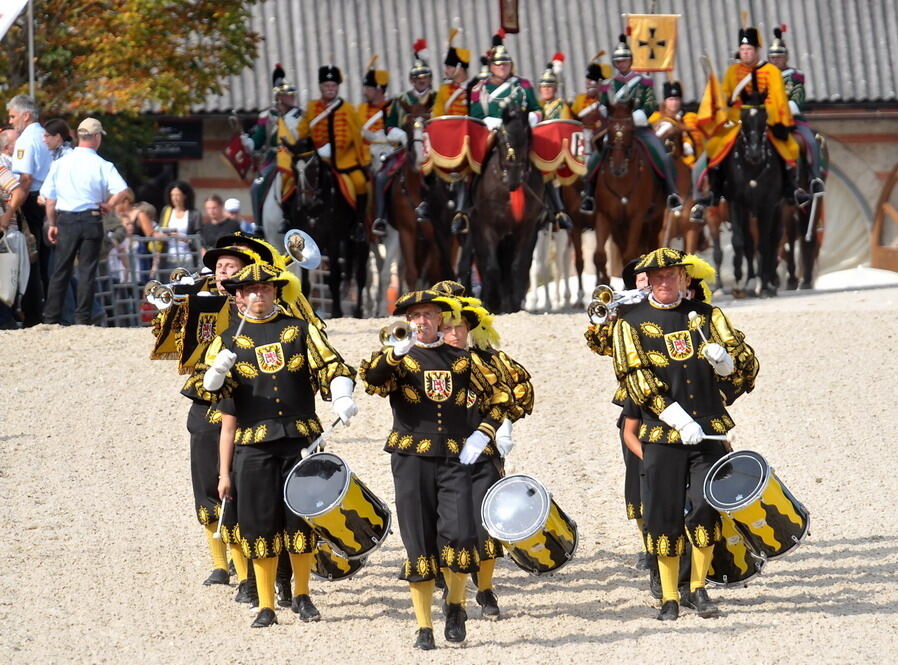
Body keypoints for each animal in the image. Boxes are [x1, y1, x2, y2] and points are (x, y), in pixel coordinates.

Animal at [290, 152, 368, 318]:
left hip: (363, 243)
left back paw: (358, 311)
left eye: (314, 169)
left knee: (360, 276)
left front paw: (336, 312)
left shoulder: (333, 241)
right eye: (293, 169)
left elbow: (334, 277)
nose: (306, 202)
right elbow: (305, 280)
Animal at [462, 102, 544, 312]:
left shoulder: (527, 228)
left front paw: (513, 303)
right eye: (501, 139)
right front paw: (490, 303)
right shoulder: (485, 227)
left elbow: (519, 264)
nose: (513, 180)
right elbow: (491, 266)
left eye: (526, 140)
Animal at [592, 97, 668, 284]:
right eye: (610, 129)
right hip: (619, 227)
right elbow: (599, 256)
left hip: (654, 220)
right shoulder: (604, 216)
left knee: (651, 245)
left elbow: (630, 256)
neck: (621, 181)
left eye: (631, 129)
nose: (618, 168)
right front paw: (604, 283)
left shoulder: (637, 217)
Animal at [716, 104, 780, 296]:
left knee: (773, 239)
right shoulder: (736, 204)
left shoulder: (768, 205)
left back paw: (767, 281)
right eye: (743, 120)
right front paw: (740, 280)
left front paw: (764, 284)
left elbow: (764, 244)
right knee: (749, 244)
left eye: (764, 119)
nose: (754, 152)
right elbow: (739, 242)